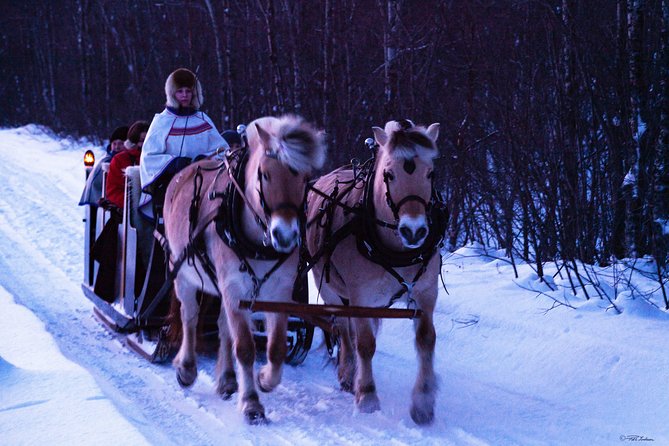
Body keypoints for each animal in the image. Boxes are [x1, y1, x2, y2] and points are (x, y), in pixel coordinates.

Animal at [164, 115, 326, 426]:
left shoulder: (277, 292)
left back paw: (228, 379)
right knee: (189, 316)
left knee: (222, 326)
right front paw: (252, 404)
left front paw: (264, 379)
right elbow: (246, 348)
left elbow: (275, 348)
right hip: (184, 274)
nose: (285, 236)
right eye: (265, 174)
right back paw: (187, 368)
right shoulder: (233, 288)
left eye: (304, 178)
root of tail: (183, 173)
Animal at [306, 118, 444, 426]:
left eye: (430, 173)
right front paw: (367, 396)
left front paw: (424, 402)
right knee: (343, 328)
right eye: (389, 174)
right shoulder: (361, 298)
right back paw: (348, 374)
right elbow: (365, 344)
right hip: (329, 288)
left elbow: (426, 340)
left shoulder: (425, 293)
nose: (414, 231)